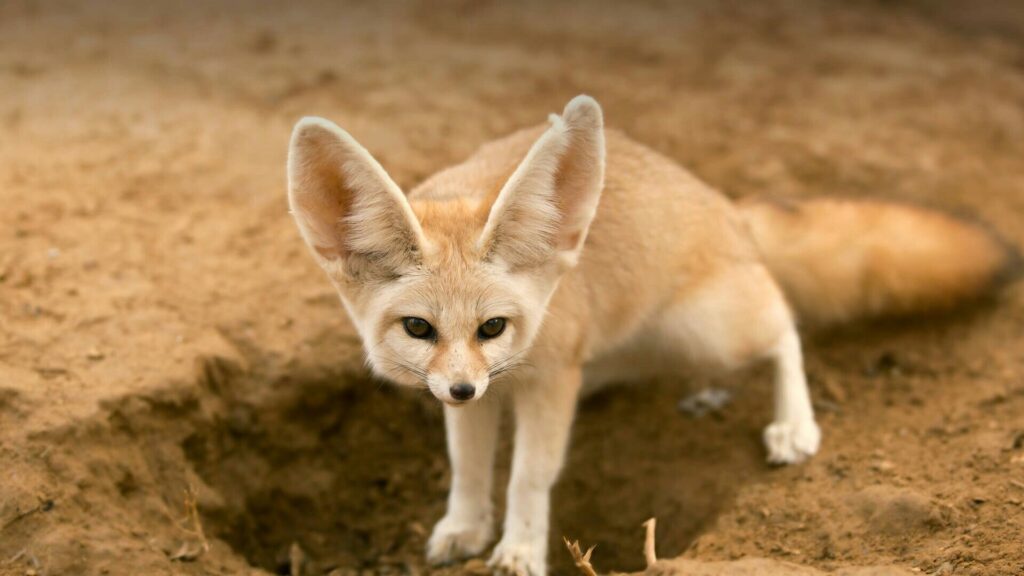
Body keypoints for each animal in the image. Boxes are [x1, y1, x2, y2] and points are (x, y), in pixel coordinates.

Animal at [286, 95, 1015, 573]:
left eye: (493, 326)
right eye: (419, 327)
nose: (463, 388)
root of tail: (727, 207)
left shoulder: (549, 380)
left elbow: (528, 476)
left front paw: (519, 549)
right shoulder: (480, 393)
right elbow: (468, 466)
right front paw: (464, 527)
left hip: (710, 326)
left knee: (784, 325)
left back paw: (792, 424)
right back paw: (706, 393)